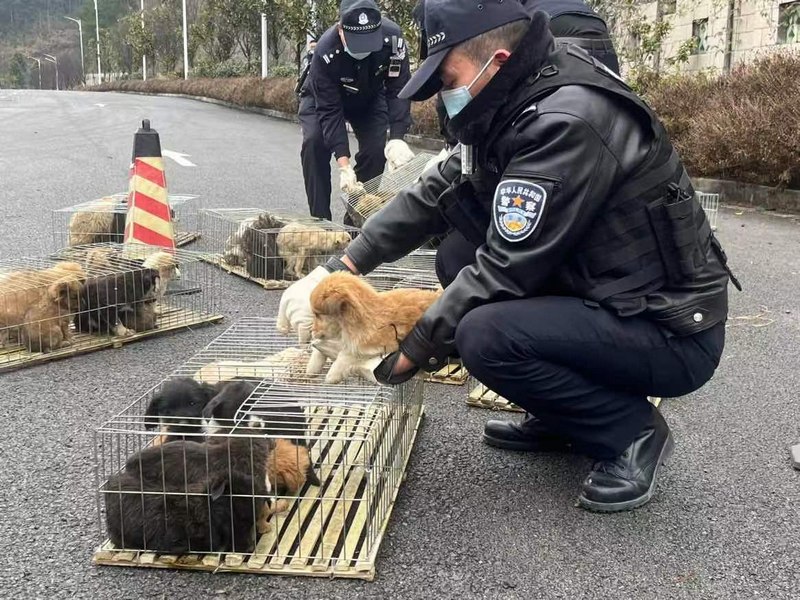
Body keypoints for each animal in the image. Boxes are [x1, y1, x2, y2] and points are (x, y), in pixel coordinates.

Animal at [310, 274, 440, 384]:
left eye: (317, 315)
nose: (312, 331)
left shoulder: (376, 345)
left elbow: (347, 354)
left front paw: (332, 374)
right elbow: (319, 348)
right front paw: (312, 367)